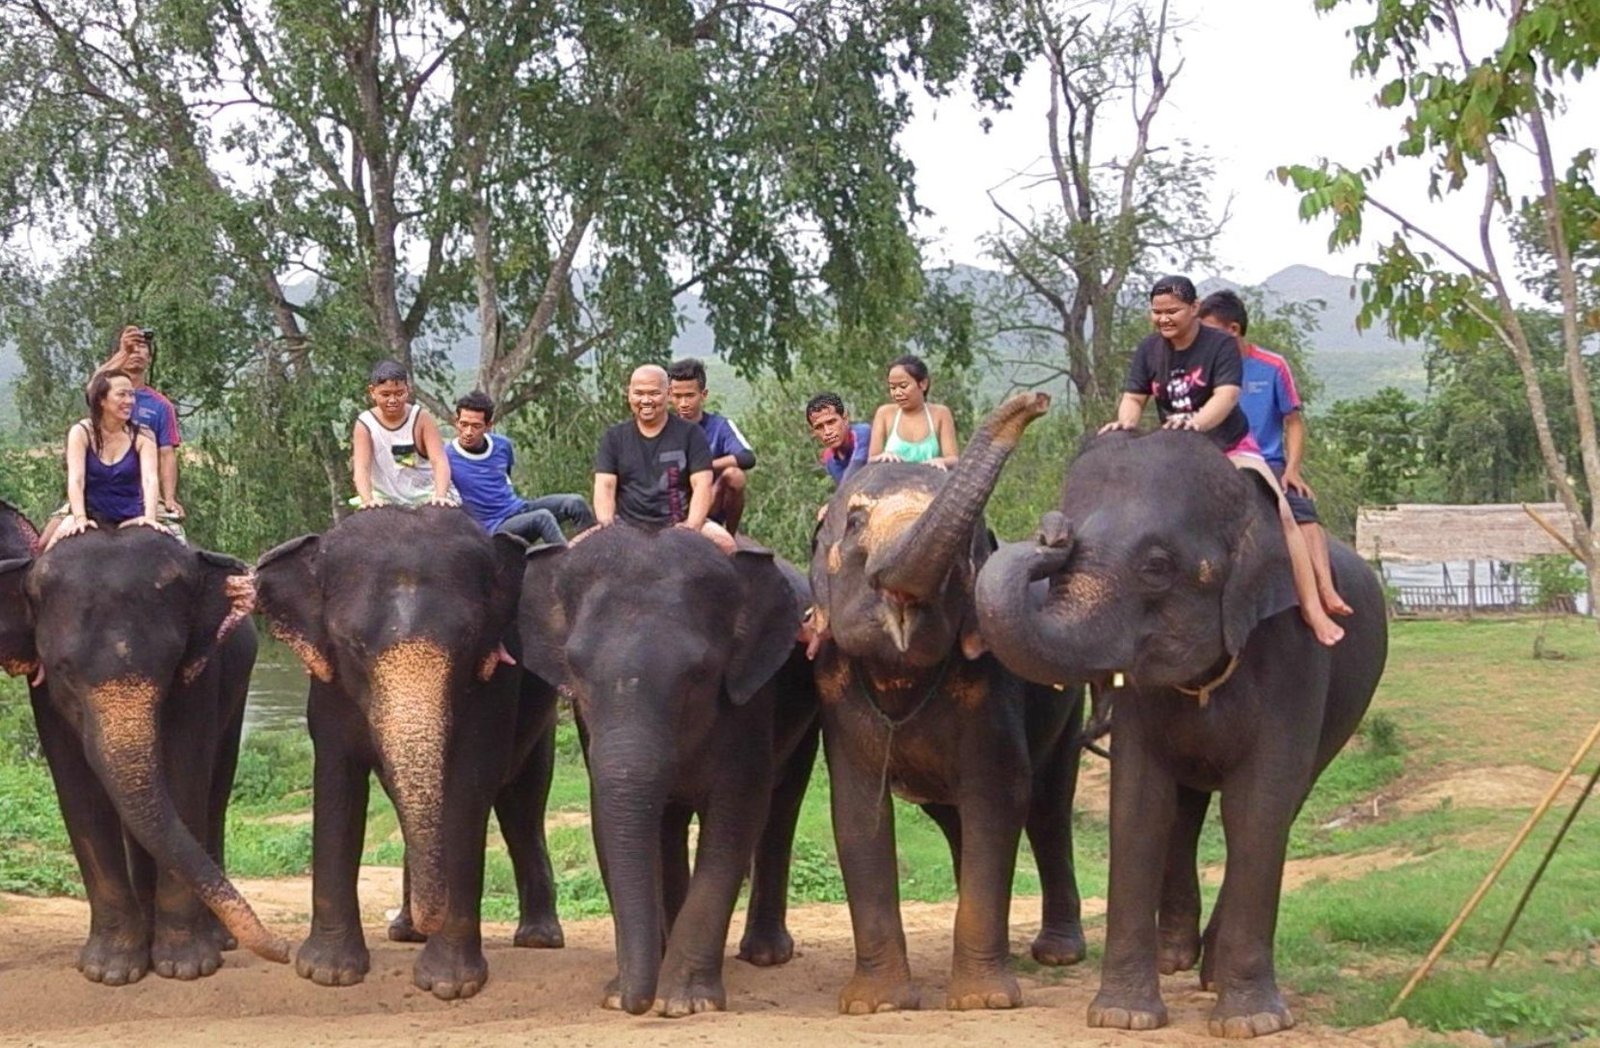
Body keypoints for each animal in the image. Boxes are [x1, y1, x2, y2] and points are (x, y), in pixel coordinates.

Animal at [0, 499, 288, 985]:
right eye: (63, 672)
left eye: (169, 664)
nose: (284, 950)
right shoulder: (44, 695)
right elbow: (79, 791)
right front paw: (110, 972)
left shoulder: (200, 674)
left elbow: (184, 773)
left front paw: (186, 966)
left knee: (215, 790)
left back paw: (216, 941)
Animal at [518, 524, 812, 1017]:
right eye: (575, 668)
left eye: (700, 673)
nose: (637, 1004)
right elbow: (607, 821)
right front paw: (618, 994)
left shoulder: (750, 702)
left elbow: (736, 818)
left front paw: (684, 1003)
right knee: (671, 824)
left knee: (782, 806)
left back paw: (765, 955)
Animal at [812, 393, 1088, 1017]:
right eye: (855, 523)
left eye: (965, 551)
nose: (1034, 401)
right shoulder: (836, 689)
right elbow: (857, 809)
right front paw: (877, 1006)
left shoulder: (992, 687)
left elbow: (1001, 792)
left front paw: (984, 1002)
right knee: (957, 816)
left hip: (1071, 708)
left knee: (1048, 806)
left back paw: (1058, 955)